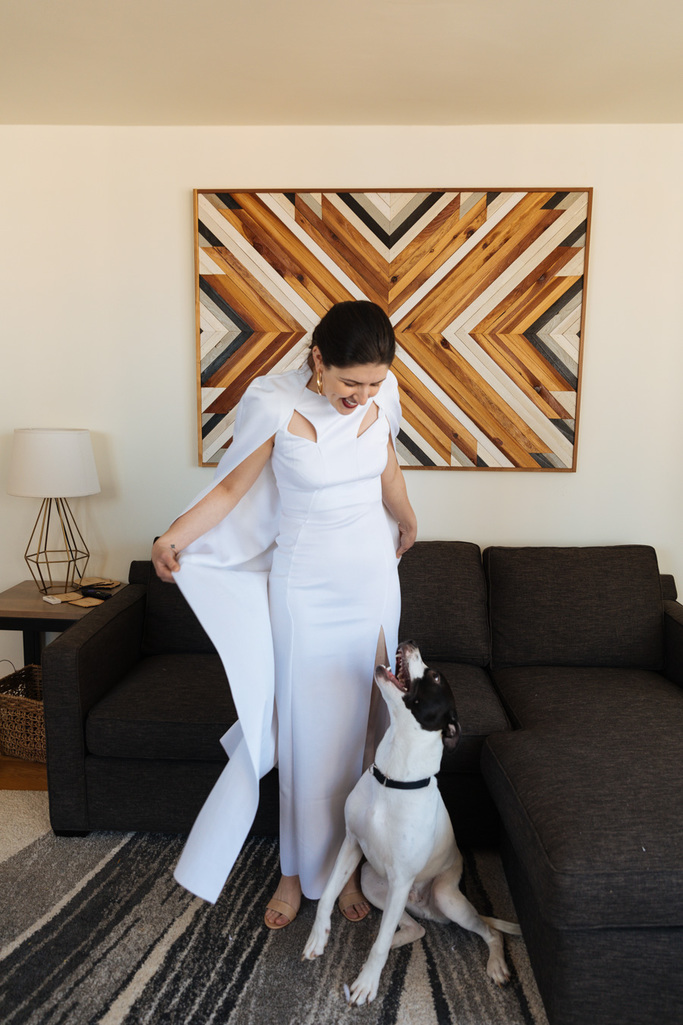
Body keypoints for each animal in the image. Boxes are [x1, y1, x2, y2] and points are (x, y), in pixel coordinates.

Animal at [301, 639, 518, 1008]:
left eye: (435, 676)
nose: (410, 642)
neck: (393, 778)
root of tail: (425, 906)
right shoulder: (350, 845)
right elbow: (328, 895)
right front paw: (318, 939)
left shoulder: (401, 878)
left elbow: (376, 946)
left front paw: (366, 984)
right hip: (375, 885)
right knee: (414, 930)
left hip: (444, 897)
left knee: (489, 932)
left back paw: (497, 965)